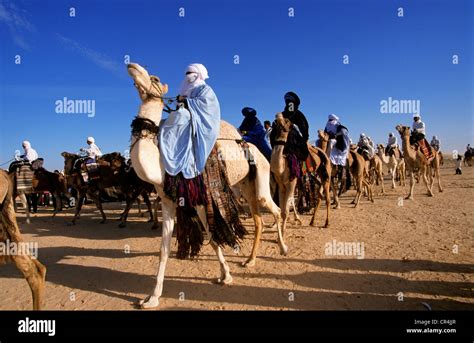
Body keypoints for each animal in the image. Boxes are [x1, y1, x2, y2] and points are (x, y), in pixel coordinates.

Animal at [127, 63, 286, 310]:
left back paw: (282, 248)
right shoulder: (168, 202)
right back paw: (250, 260)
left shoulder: (201, 199)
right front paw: (151, 298)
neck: (161, 164)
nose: (132, 66)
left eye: (154, 78)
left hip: (260, 176)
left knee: (275, 210)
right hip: (244, 187)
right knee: (258, 219)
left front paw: (226, 276)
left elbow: (212, 237)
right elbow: (163, 250)